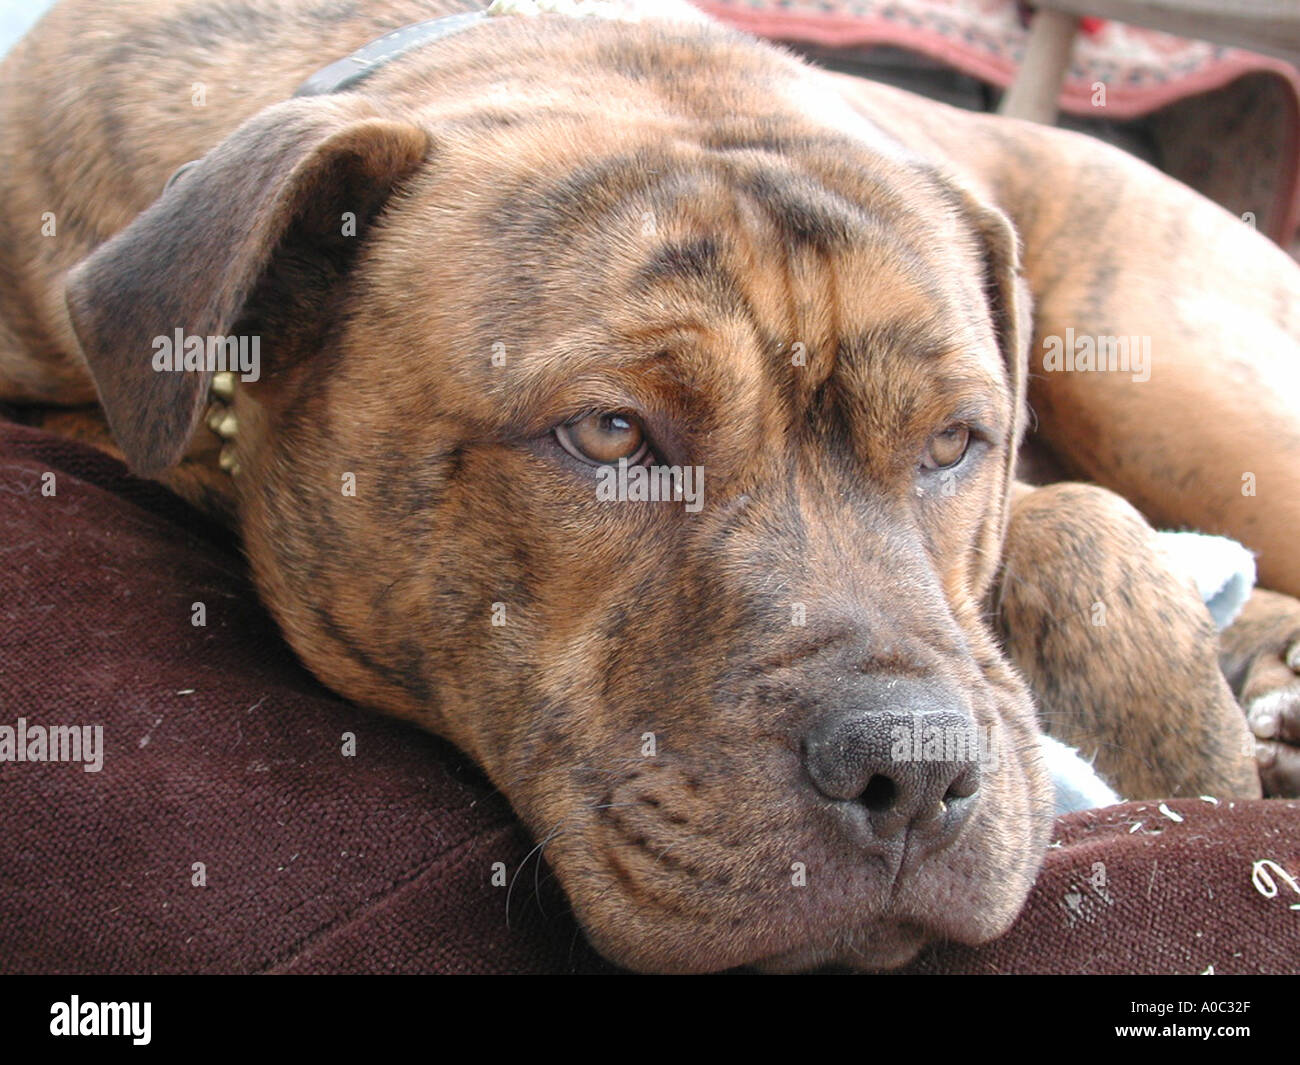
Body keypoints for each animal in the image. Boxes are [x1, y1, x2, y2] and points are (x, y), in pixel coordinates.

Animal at [2, 0, 1300, 972]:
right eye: (610, 433)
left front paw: (1191, 769)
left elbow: (1085, 531)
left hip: (1177, 383)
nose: (918, 767)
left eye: (951, 443)